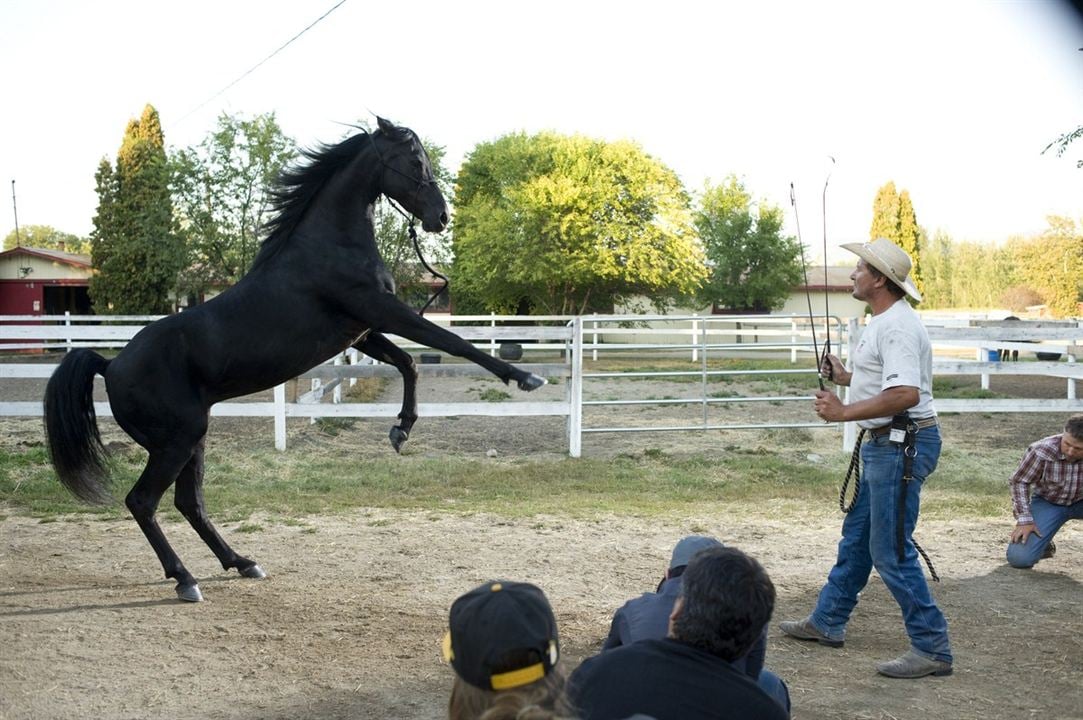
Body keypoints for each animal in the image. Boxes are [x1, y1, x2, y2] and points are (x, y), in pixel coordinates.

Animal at [43, 118, 545, 601]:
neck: (329, 246)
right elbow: (454, 344)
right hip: (174, 442)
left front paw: (400, 430)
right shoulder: (380, 311)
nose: (440, 217)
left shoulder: (363, 329)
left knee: (190, 503)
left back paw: (241, 563)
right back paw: (186, 580)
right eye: (414, 160)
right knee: (143, 501)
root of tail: (110, 365)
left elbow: (409, 362)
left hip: (192, 439)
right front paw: (523, 377)